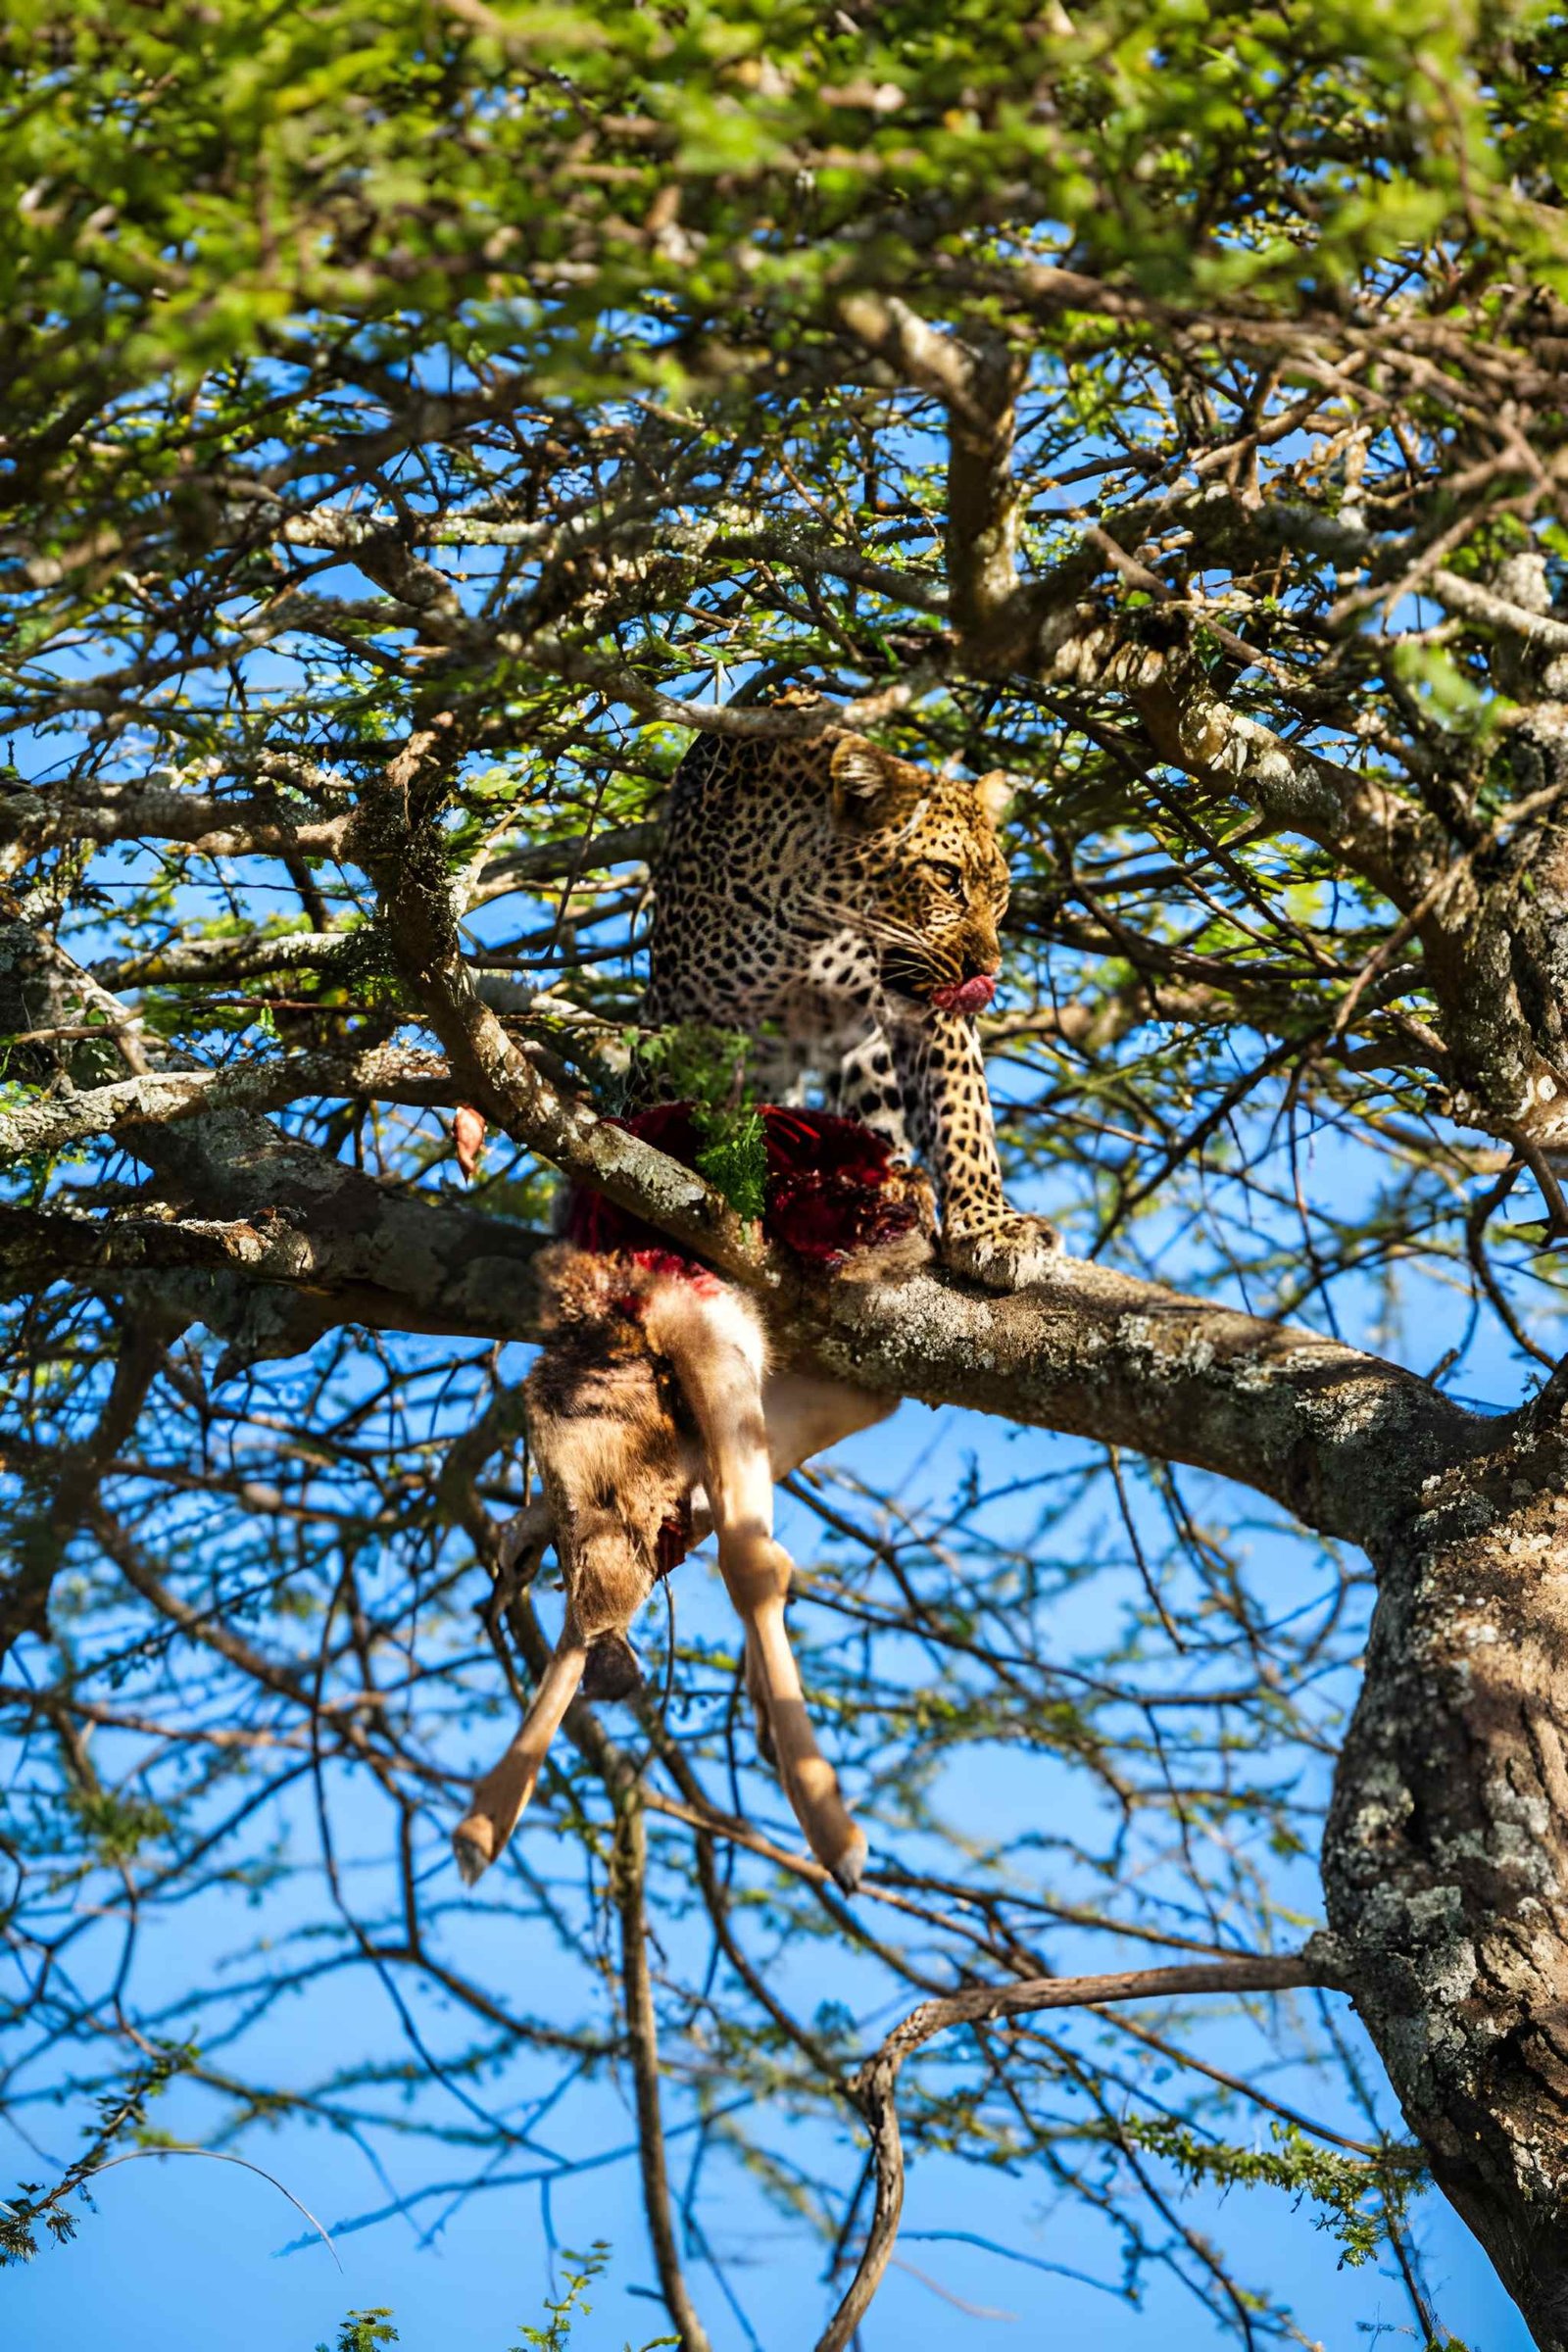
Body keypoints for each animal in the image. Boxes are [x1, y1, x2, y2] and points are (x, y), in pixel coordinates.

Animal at [644, 716, 1061, 1289]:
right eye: (946, 878)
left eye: (998, 894)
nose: (986, 972)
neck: (809, 923)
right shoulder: (691, 1013)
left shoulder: (929, 1013)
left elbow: (963, 1111)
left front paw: (990, 1225)